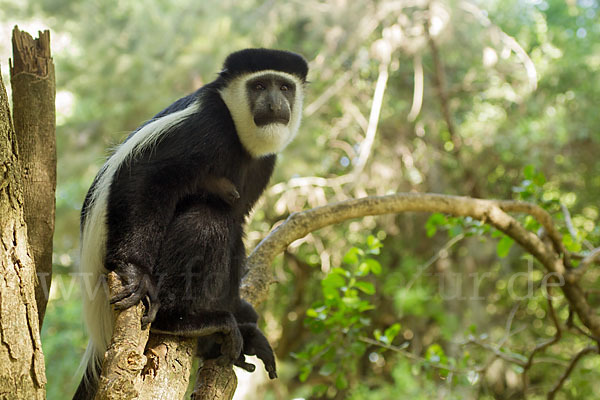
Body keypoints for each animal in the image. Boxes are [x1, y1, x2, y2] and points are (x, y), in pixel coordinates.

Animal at [74, 48, 308, 398]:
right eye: (258, 86)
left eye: (284, 87)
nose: (274, 103)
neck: (238, 133)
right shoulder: (206, 126)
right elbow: (145, 176)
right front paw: (133, 272)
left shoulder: (265, 162)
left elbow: (239, 219)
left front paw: (243, 316)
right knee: (207, 220)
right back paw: (180, 320)